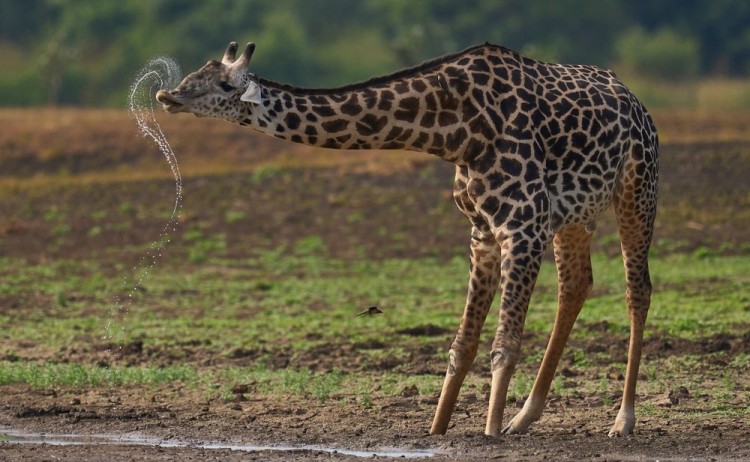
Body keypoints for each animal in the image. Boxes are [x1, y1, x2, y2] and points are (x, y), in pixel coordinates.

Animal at [156, 41, 658, 438]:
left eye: (224, 86)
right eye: (193, 74)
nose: (167, 95)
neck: (455, 131)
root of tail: (635, 100)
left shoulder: (523, 225)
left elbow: (504, 344)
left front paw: (491, 433)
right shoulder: (483, 232)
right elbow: (461, 347)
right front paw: (439, 430)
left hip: (638, 189)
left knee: (637, 290)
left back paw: (622, 420)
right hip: (576, 216)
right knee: (576, 285)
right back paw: (525, 417)